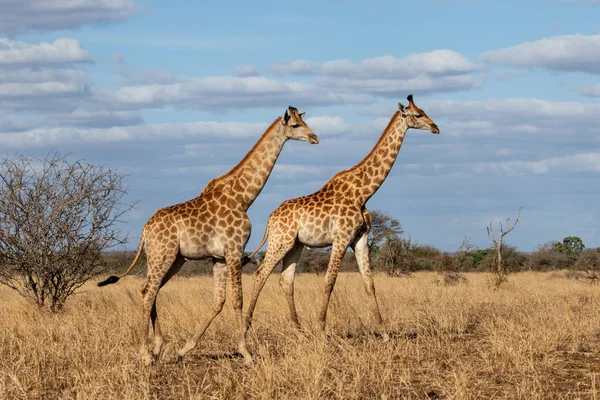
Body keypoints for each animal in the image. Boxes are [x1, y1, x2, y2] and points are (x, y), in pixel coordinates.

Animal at [96, 107, 318, 366]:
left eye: (304, 120)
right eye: (295, 125)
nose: (314, 137)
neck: (242, 197)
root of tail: (144, 230)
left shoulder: (219, 257)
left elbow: (218, 300)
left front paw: (185, 348)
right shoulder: (234, 249)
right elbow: (237, 299)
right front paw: (246, 353)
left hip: (171, 258)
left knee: (149, 289)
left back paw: (158, 347)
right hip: (163, 255)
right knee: (148, 291)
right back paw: (145, 354)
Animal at [241, 94, 438, 340]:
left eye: (424, 111)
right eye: (418, 114)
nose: (435, 127)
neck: (363, 192)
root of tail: (270, 219)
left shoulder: (360, 239)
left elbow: (369, 283)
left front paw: (384, 333)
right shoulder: (341, 237)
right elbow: (329, 281)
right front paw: (322, 328)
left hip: (295, 245)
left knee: (286, 280)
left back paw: (299, 330)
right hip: (281, 241)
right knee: (260, 274)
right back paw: (246, 327)